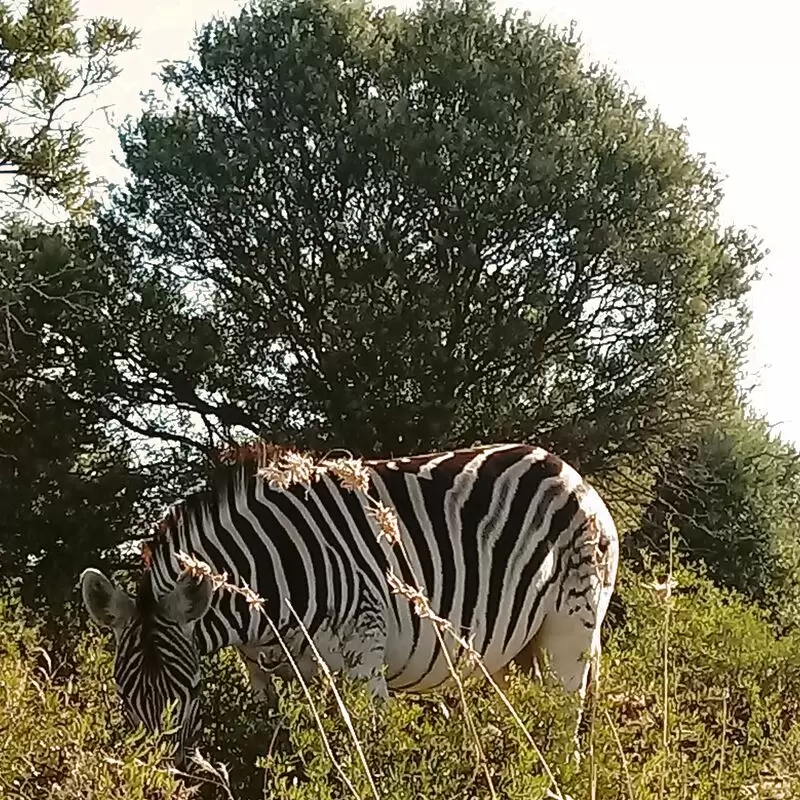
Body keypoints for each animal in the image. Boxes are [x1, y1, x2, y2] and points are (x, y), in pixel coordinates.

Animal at [79, 440, 620, 764]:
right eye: (121, 693)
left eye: (191, 689)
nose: (161, 777)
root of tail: (566, 467)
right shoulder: (261, 668)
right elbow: (270, 737)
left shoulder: (365, 651)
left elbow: (369, 744)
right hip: (517, 647)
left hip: (571, 625)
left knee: (566, 721)